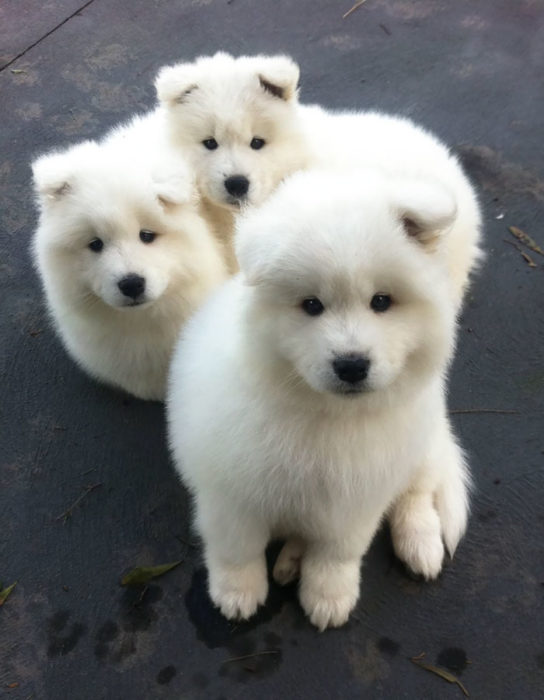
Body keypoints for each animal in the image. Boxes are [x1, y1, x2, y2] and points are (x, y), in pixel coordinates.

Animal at [168, 168, 478, 628]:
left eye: (381, 301)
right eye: (311, 305)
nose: (351, 365)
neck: (326, 415)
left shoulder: (357, 499)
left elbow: (337, 553)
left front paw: (329, 596)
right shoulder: (232, 491)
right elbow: (237, 547)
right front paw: (237, 592)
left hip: (419, 443)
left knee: (417, 492)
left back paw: (420, 542)